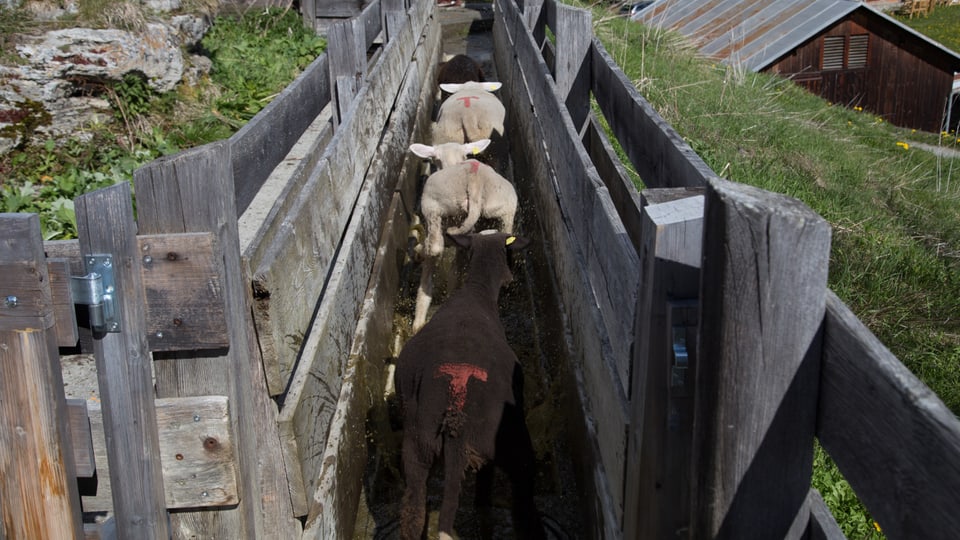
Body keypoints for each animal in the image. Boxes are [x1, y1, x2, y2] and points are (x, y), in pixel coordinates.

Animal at [396, 231, 544, 540]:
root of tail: (456, 412)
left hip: (417, 446)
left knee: (413, 511)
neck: (476, 292)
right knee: (521, 498)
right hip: (508, 444)